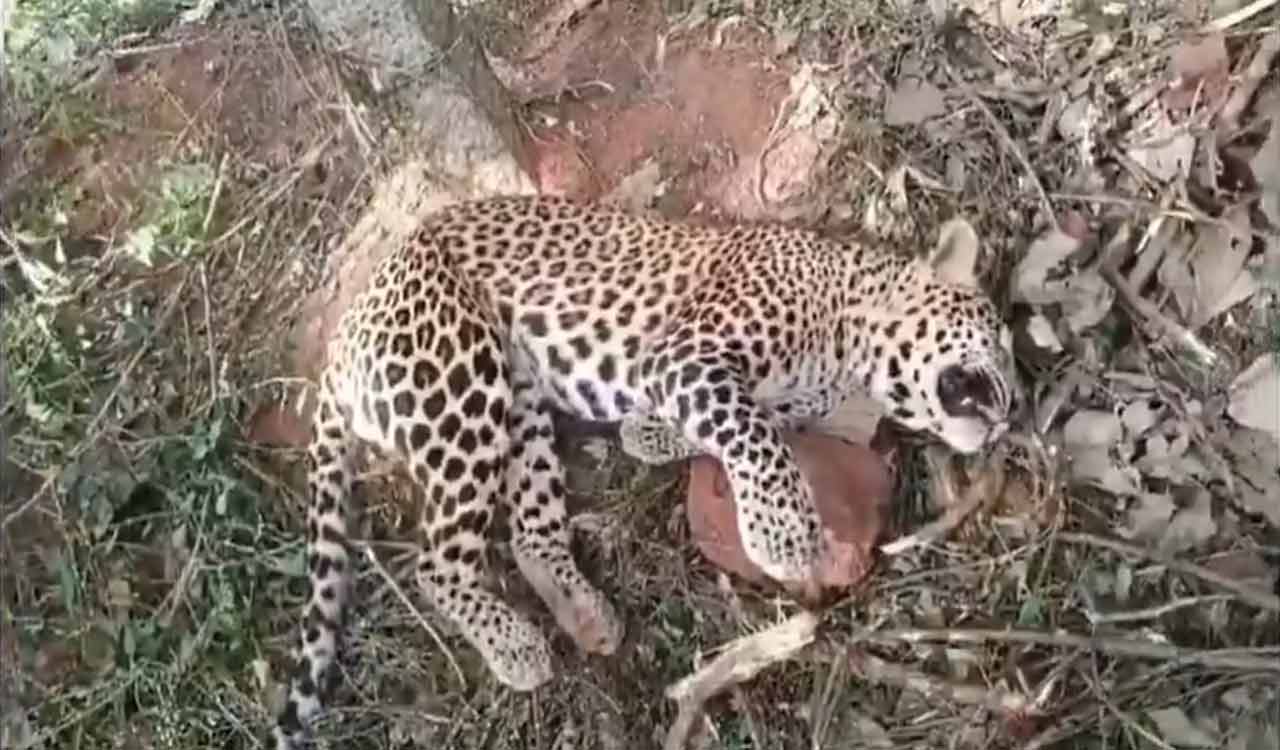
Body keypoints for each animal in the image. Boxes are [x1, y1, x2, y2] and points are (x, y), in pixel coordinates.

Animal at [272, 194, 1017, 748]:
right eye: (999, 340)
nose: (1010, 414)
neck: (848, 340)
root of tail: (341, 341)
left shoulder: (713, 387)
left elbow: (711, 428)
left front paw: (653, 437)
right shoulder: (687, 357)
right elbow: (754, 435)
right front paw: (782, 536)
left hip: (522, 405)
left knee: (530, 535)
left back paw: (584, 615)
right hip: (463, 381)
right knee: (437, 563)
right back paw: (515, 647)